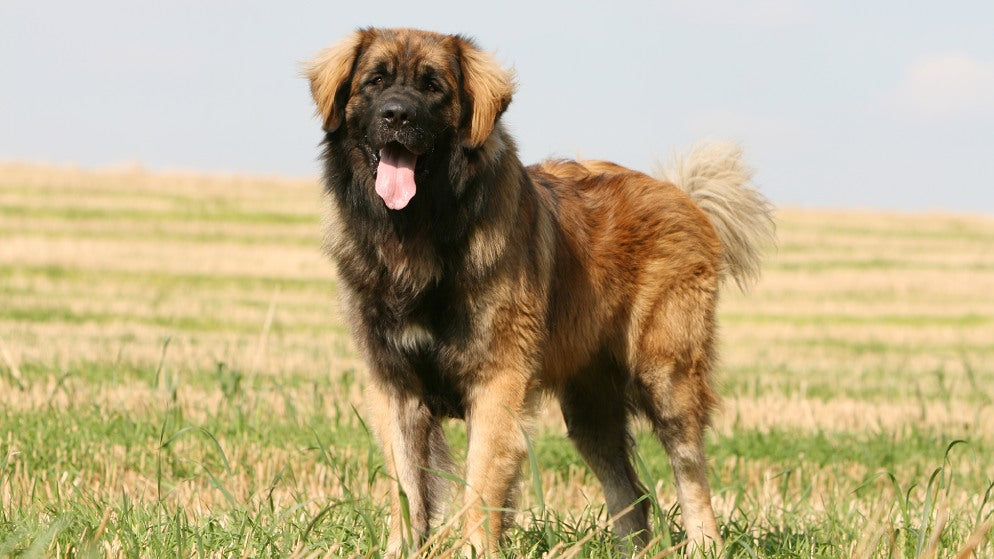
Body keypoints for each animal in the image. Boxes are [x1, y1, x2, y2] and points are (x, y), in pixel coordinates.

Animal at [306, 27, 772, 556]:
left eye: (432, 87)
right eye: (376, 81)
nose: (397, 115)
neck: (418, 234)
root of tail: (683, 196)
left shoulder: (498, 382)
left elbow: (480, 487)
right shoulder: (396, 386)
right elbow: (406, 490)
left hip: (668, 376)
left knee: (690, 472)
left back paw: (705, 543)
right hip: (590, 406)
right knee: (630, 494)